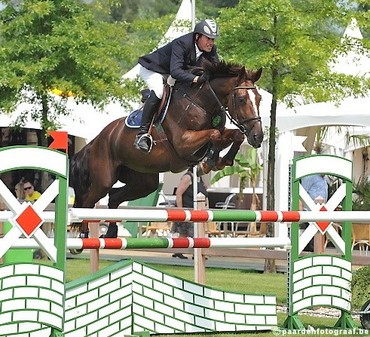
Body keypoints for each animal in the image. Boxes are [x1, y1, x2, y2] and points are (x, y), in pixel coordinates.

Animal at [69, 60, 264, 238]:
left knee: (114, 196)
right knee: (87, 201)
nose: (258, 136)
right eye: (242, 99)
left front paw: (221, 160)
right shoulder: (183, 143)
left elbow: (234, 135)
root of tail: (97, 139)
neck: (202, 103)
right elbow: (214, 134)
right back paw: (82, 236)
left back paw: (110, 233)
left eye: (259, 99)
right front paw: (212, 160)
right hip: (104, 179)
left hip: (144, 181)